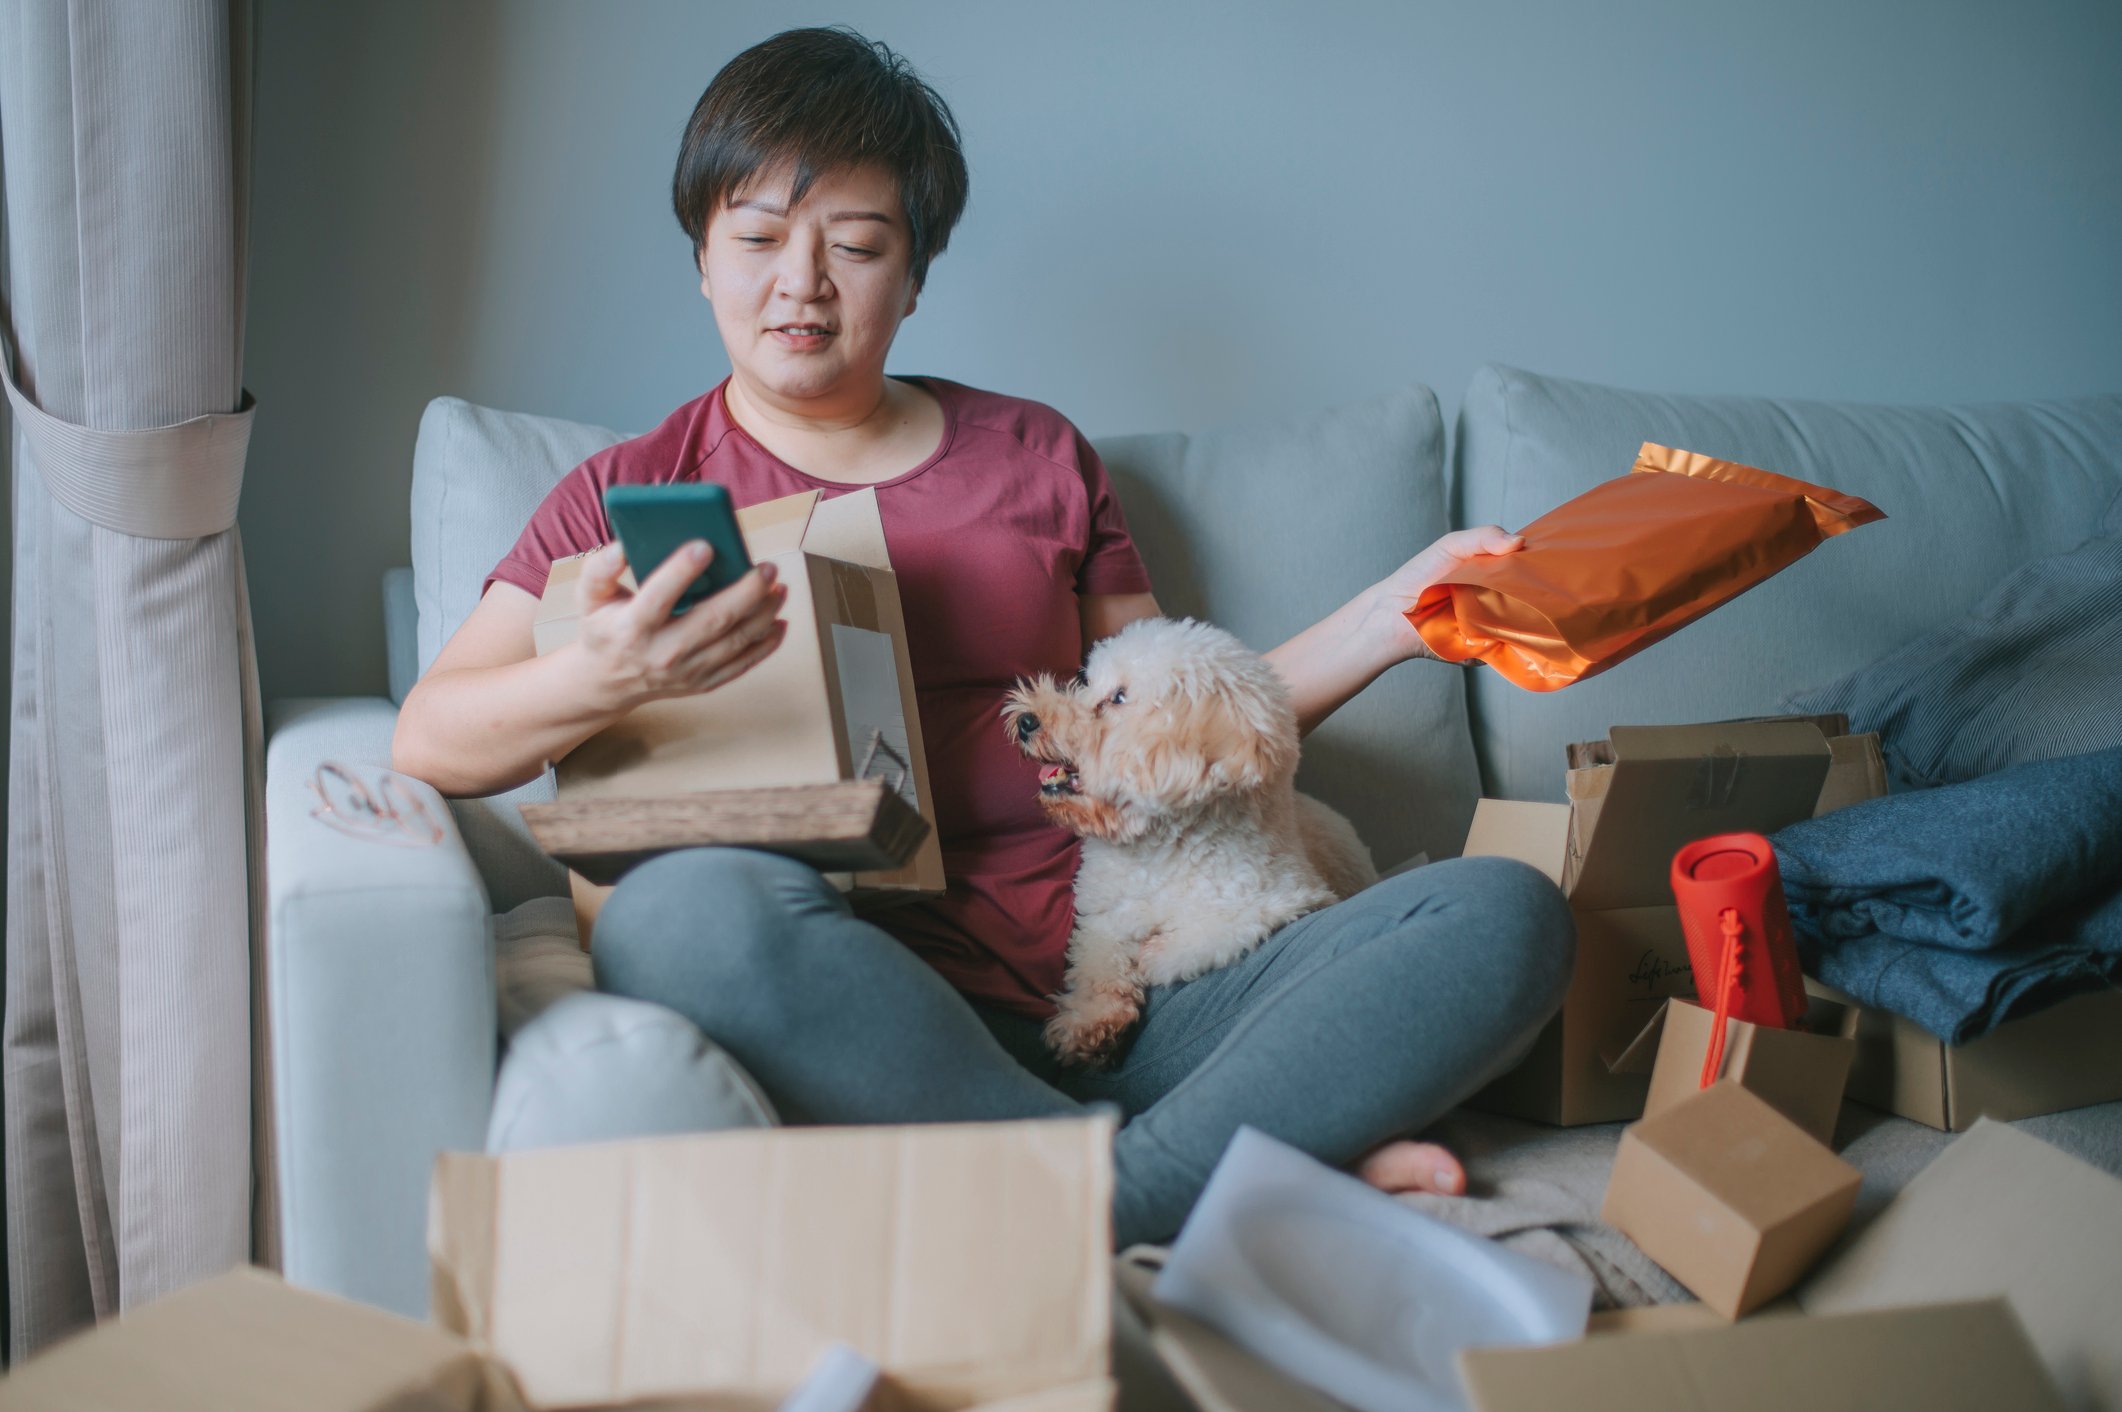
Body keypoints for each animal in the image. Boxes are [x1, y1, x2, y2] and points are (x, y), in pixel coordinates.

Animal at [1005, 611, 1375, 1061]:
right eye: (1086, 680)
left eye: (1118, 698)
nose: (1027, 720)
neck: (1159, 851)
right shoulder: (1103, 915)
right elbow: (1097, 962)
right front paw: (1089, 1023)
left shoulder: (1284, 898)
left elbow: (1206, 938)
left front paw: (1155, 954)